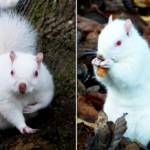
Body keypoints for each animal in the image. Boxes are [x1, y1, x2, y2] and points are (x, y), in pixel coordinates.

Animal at [0, 0, 54, 134]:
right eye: (11, 72)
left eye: (36, 73)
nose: (22, 86)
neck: (24, 95)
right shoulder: (5, 101)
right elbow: (13, 114)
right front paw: (25, 128)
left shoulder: (46, 88)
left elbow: (45, 101)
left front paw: (32, 108)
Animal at [91, 15, 150, 146]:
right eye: (100, 36)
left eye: (118, 43)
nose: (100, 56)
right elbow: (106, 80)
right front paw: (95, 63)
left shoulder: (138, 61)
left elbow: (127, 73)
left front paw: (110, 64)